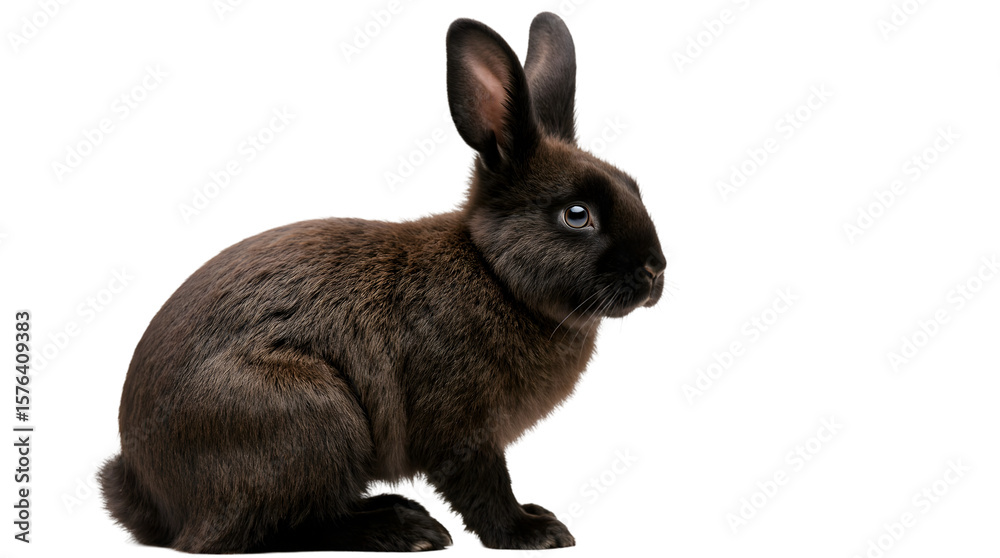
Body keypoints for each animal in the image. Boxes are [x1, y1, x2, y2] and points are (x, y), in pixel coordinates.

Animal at [99, 11, 665, 553]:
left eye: (634, 187)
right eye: (577, 215)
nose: (656, 269)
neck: (494, 274)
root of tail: (148, 491)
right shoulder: (462, 433)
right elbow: (484, 487)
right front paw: (531, 532)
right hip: (310, 415)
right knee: (258, 533)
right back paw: (404, 531)